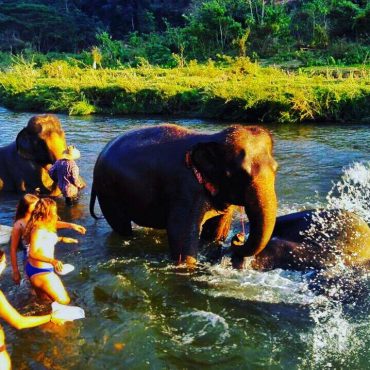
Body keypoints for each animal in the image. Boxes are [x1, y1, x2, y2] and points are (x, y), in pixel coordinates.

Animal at [90, 124, 278, 266]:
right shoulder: (185, 190)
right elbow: (181, 235)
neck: (213, 139)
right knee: (121, 226)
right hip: (108, 193)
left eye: (276, 168)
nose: (238, 238)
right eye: (242, 174)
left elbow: (216, 230)